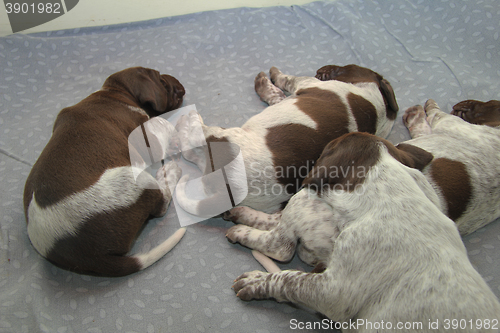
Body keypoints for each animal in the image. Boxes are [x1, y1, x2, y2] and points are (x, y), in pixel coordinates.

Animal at [23, 65, 188, 274]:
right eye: (161, 80)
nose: (182, 87)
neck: (113, 93)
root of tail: (87, 258)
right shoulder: (146, 136)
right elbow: (162, 124)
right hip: (135, 179)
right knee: (160, 204)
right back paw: (169, 171)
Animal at [176, 64, 398, 215]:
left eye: (342, 67)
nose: (321, 69)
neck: (374, 101)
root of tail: (231, 191)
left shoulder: (306, 83)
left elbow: (287, 79)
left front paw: (272, 76)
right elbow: (276, 95)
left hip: (224, 137)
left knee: (192, 140)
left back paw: (188, 121)